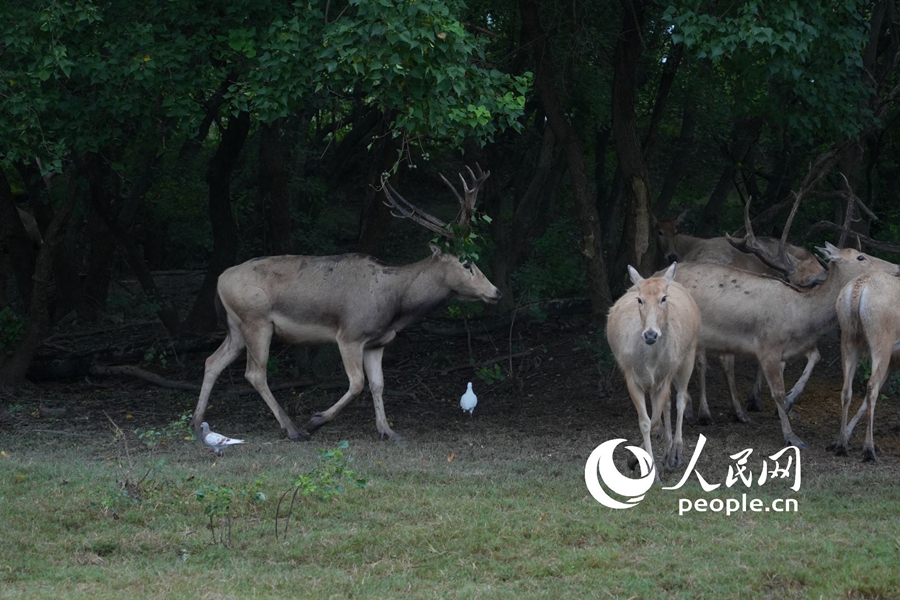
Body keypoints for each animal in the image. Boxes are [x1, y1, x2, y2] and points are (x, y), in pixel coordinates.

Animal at [190, 166, 501, 442]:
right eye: (467, 263)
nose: (495, 292)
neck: (395, 307)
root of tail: (220, 280)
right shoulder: (350, 334)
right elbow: (357, 383)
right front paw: (316, 420)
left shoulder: (377, 342)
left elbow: (378, 384)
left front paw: (388, 431)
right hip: (256, 321)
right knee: (255, 372)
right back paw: (292, 429)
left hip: (236, 327)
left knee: (212, 361)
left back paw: (196, 423)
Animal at [607, 263, 701, 478]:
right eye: (640, 299)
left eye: (663, 298)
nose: (650, 335)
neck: (650, 361)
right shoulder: (632, 376)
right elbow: (646, 422)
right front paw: (643, 466)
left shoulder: (665, 378)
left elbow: (656, 419)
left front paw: (640, 462)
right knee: (669, 404)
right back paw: (666, 455)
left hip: (689, 354)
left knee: (682, 398)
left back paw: (676, 454)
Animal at [829, 272, 900, 462]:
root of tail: (859, 287)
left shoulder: (894, 361)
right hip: (881, 340)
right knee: (871, 387)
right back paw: (869, 449)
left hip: (848, 337)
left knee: (847, 389)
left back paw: (841, 444)